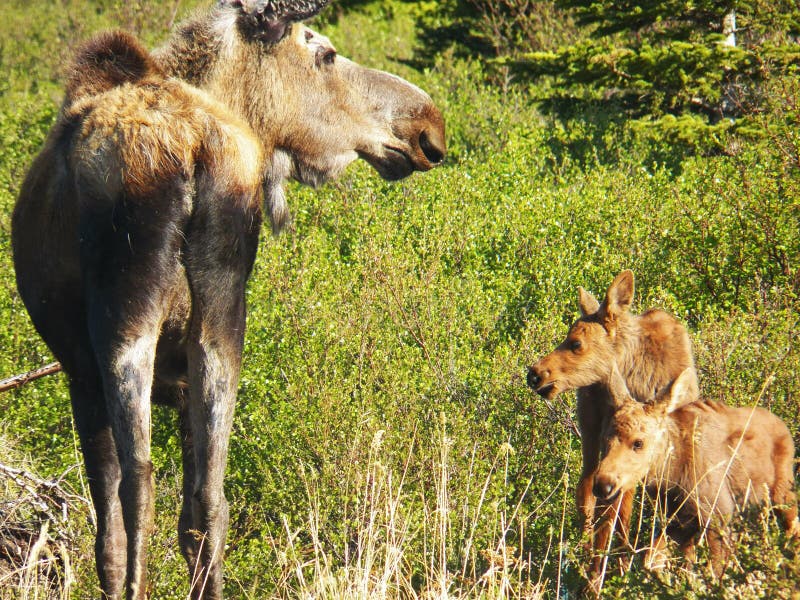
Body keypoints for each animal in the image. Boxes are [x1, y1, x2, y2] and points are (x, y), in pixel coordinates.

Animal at [12, 2, 446, 596]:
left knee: (139, 486)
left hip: (125, 323)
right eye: (325, 53)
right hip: (219, 323)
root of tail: (194, 144)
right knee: (210, 497)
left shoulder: (79, 370)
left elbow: (108, 531)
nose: (429, 126)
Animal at [596, 368, 796, 576]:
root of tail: (784, 426)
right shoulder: (680, 520)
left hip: (782, 493)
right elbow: (653, 561)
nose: (603, 485)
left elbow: (713, 570)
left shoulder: (719, 512)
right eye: (604, 438)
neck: (669, 476)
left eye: (638, 443)